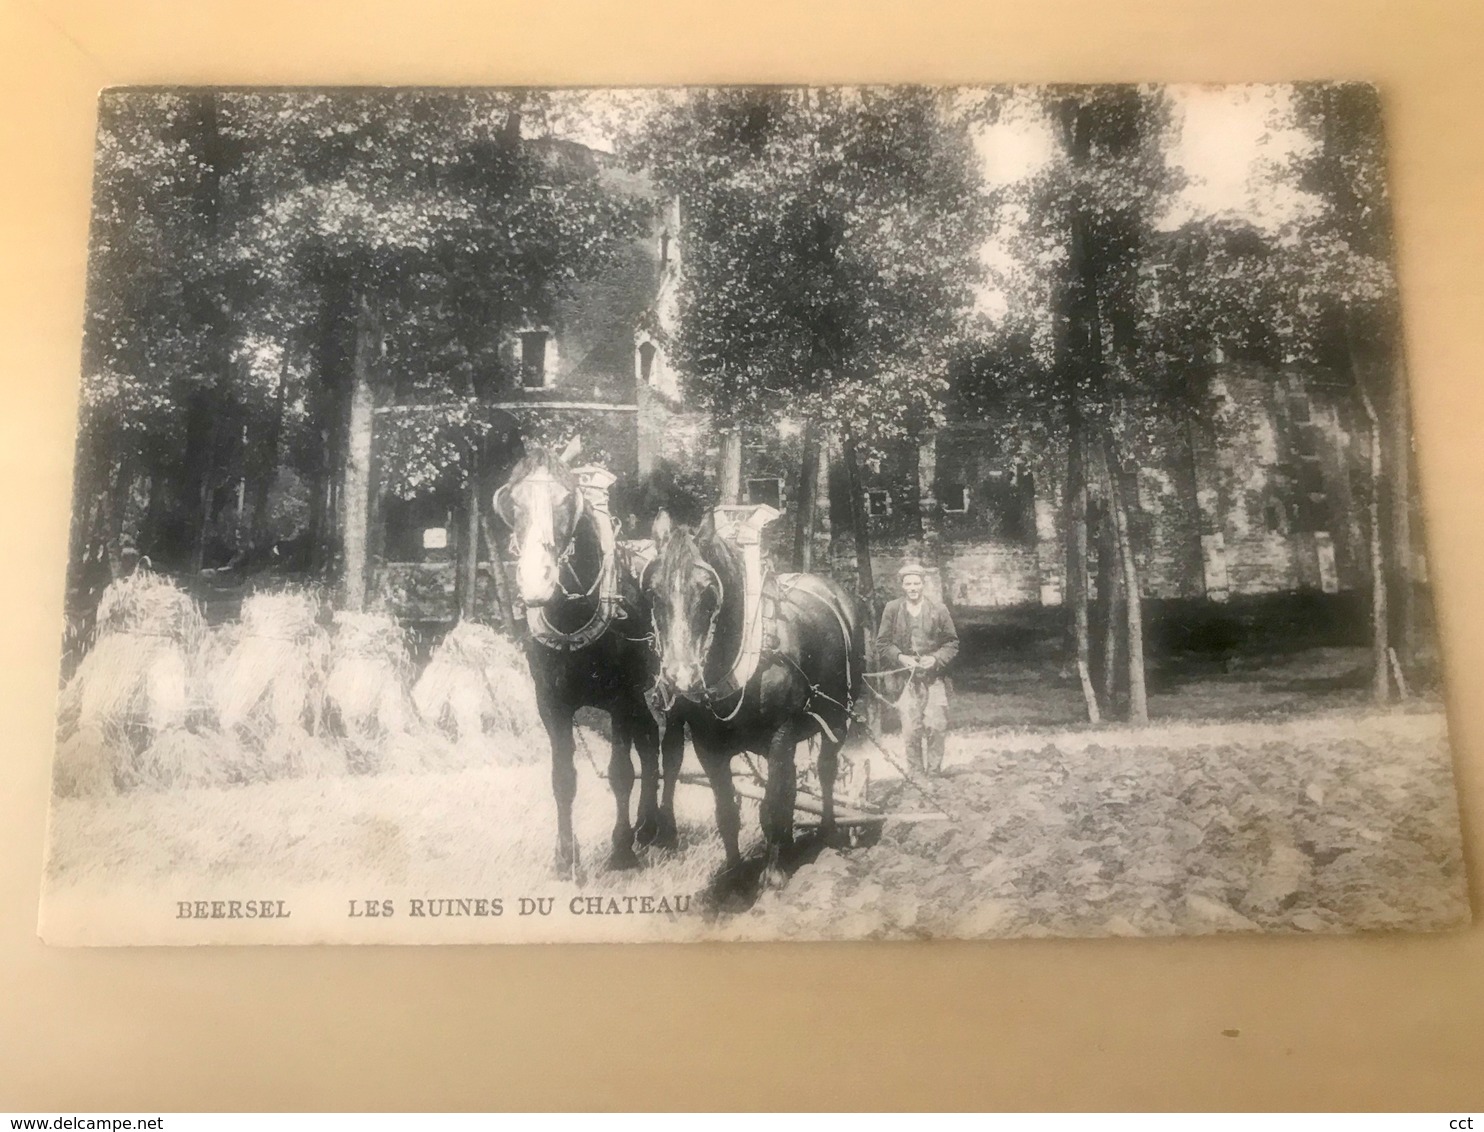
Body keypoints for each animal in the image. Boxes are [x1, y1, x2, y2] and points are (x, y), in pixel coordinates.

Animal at [495, 442, 685, 878]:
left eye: (567, 500)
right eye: (512, 502)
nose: (537, 581)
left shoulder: (621, 700)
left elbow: (620, 774)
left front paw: (621, 852)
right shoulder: (551, 703)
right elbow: (563, 778)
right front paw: (566, 857)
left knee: (670, 753)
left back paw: (664, 831)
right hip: (644, 697)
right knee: (649, 750)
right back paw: (646, 825)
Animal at [649, 513, 866, 896]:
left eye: (707, 591)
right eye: (654, 591)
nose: (680, 676)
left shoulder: (781, 736)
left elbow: (771, 805)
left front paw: (773, 874)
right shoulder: (709, 748)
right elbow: (727, 812)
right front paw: (734, 875)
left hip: (838, 716)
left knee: (825, 770)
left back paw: (828, 831)